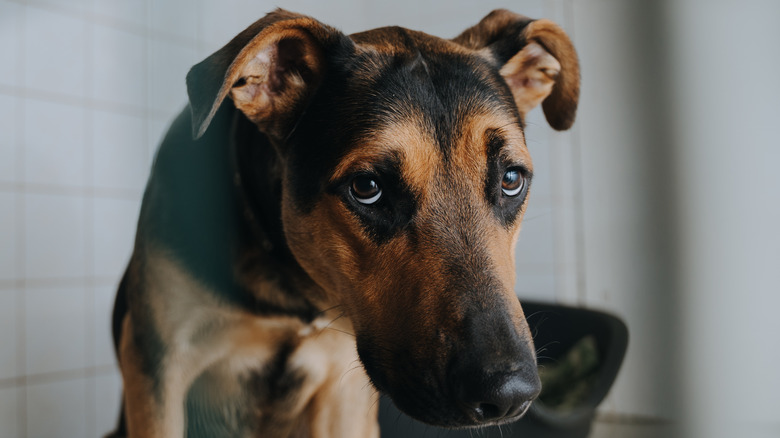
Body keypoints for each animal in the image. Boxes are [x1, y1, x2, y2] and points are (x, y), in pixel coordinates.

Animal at [108, 7, 580, 438]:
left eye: (511, 179)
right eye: (367, 187)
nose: (509, 394)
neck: (292, 285)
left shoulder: (342, 390)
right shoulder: (158, 369)